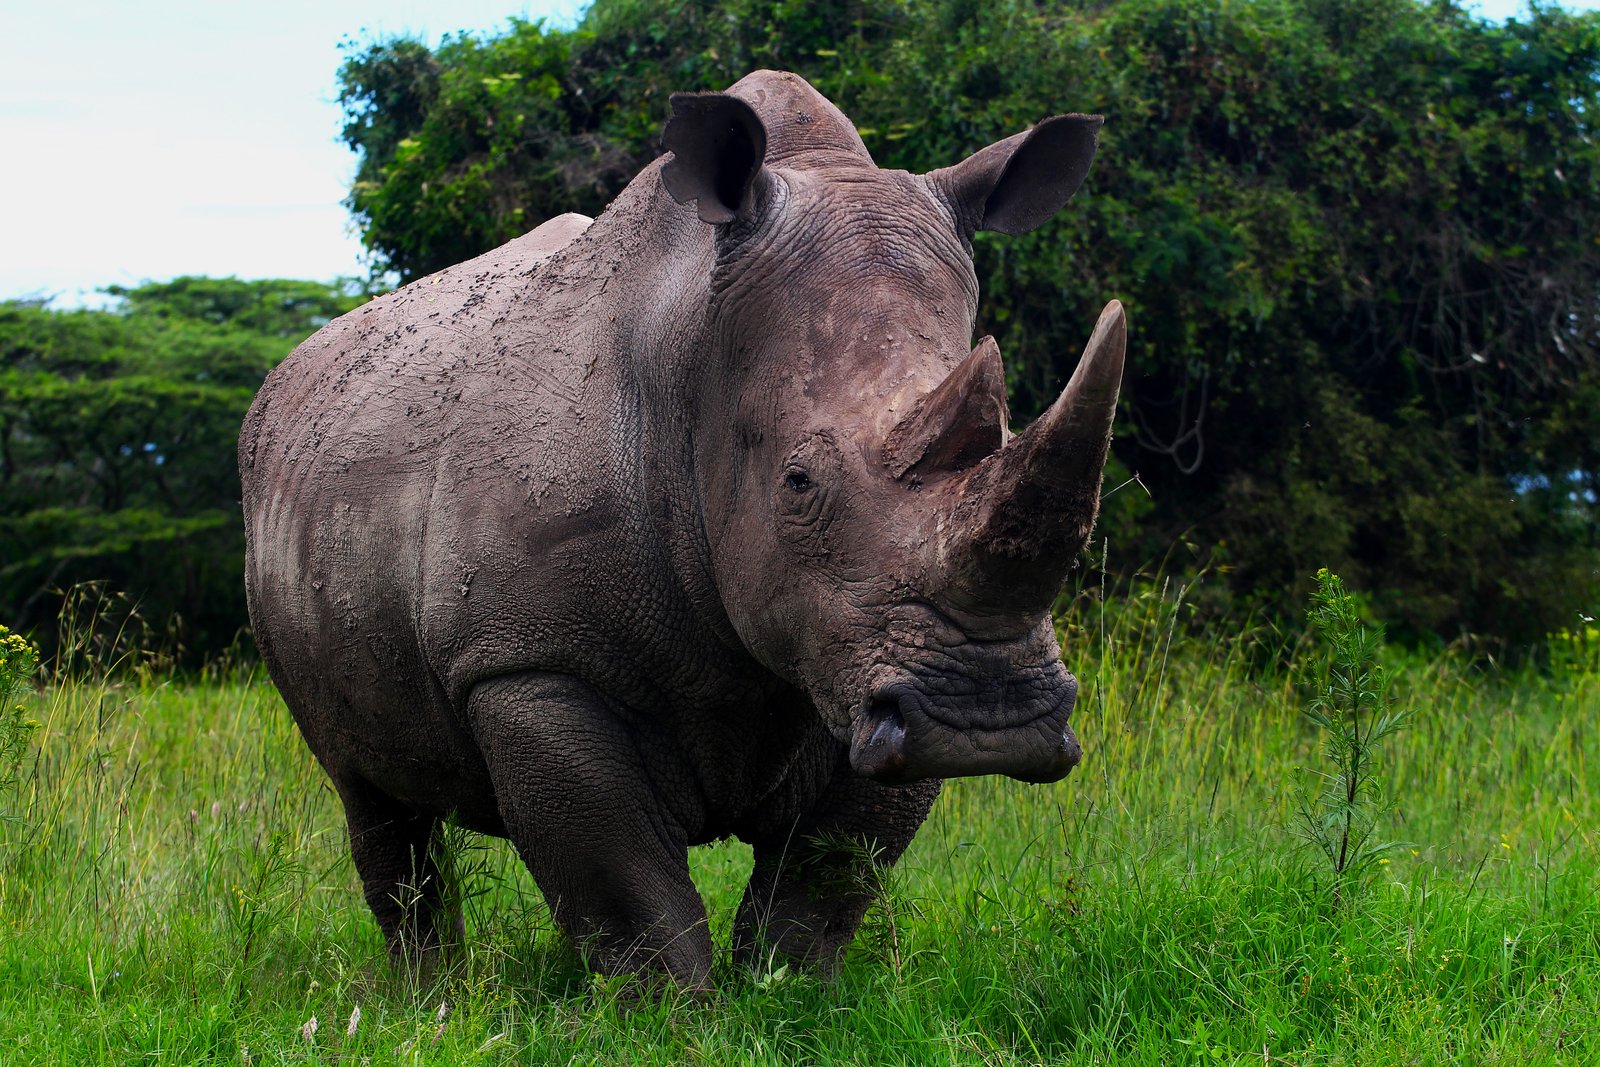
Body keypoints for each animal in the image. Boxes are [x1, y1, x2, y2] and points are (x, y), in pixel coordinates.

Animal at [239, 70, 1125, 987]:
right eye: (798, 483)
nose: (988, 717)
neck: (692, 353)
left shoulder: (859, 664)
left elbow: (826, 881)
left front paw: (788, 995)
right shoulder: (528, 658)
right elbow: (628, 889)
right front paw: (672, 1010)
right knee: (371, 796)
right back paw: (434, 996)